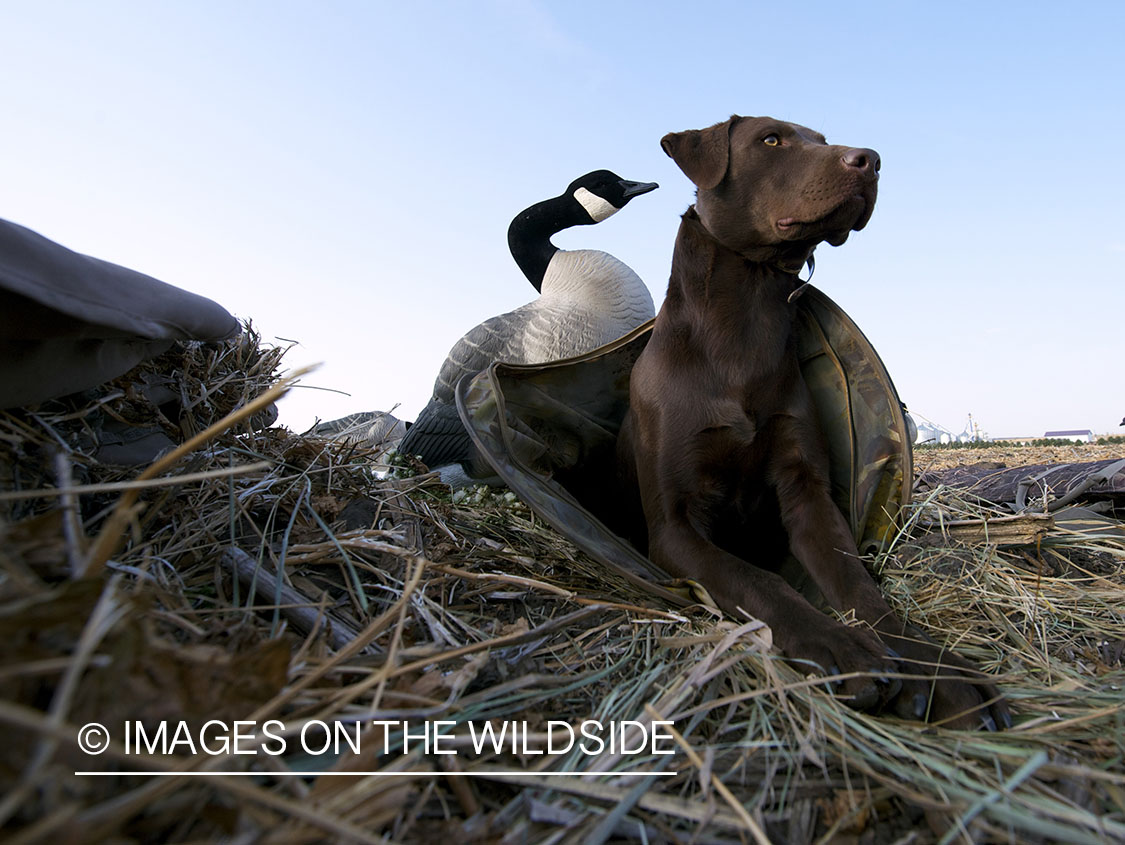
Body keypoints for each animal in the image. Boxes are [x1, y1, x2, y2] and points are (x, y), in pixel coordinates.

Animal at [621, 115, 1008, 729]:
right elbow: (759, 580)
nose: (871, 160)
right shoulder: (672, 528)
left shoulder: (807, 493)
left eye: (822, 140)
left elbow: (860, 586)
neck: (742, 326)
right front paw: (840, 649)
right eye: (770, 140)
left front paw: (939, 671)